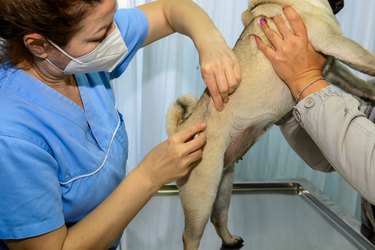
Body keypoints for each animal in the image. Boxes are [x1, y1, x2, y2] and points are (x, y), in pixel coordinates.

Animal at [167, 0, 375, 249]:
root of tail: (183, 128)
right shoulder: (334, 40)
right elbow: (369, 59)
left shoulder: (333, 68)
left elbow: (358, 83)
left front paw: (372, 92)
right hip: (202, 193)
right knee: (190, 235)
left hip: (223, 184)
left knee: (219, 216)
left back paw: (230, 239)